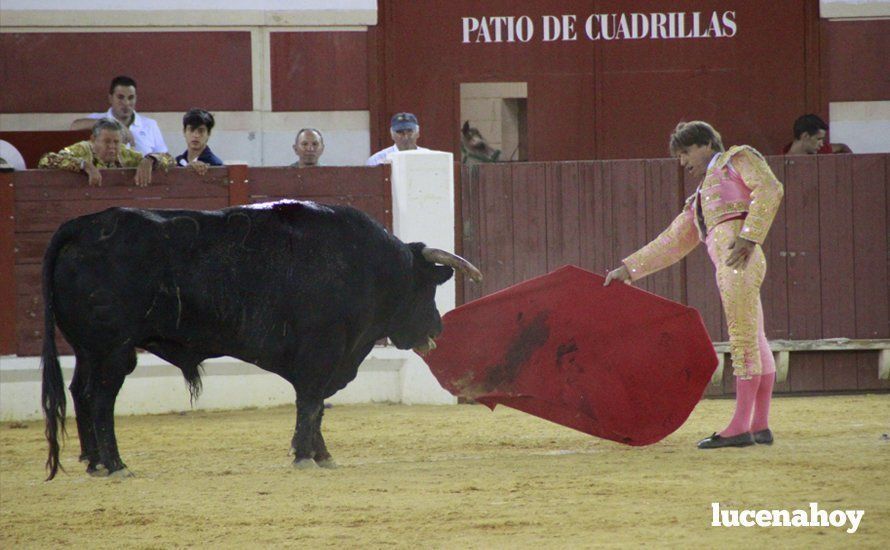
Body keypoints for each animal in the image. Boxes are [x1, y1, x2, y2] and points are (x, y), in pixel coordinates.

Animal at [42, 201, 482, 480]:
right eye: (427, 287)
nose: (437, 329)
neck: (370, 266)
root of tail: (84, 226)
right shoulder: (321, 354)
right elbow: (310, 404)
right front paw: (305, 456)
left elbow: (316, 409)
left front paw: (321, 455)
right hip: (114, 350)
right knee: (100, 399)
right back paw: (116, 466)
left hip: (88, 350)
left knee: (80, 392)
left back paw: (95, 464)